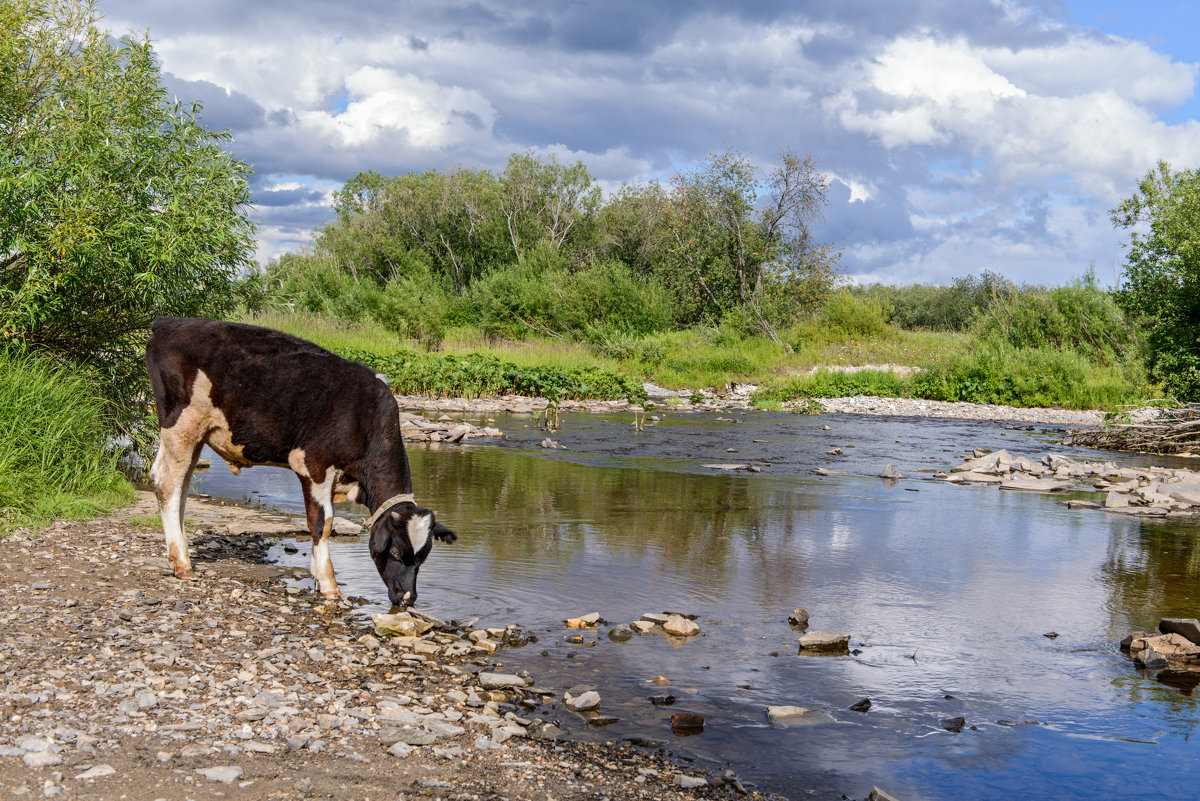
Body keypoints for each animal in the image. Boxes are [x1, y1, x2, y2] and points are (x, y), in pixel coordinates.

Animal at [144, 318, 453, 606]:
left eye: (423, 557)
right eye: (396, 551)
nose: (407, 598)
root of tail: (171, 322)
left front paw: (317, 578)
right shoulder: (314, 465)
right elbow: (322, 522)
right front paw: (328, 584)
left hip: (196, 434)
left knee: (181, 486)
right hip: (181, 424)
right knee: (167, 483)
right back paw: (182, 563)